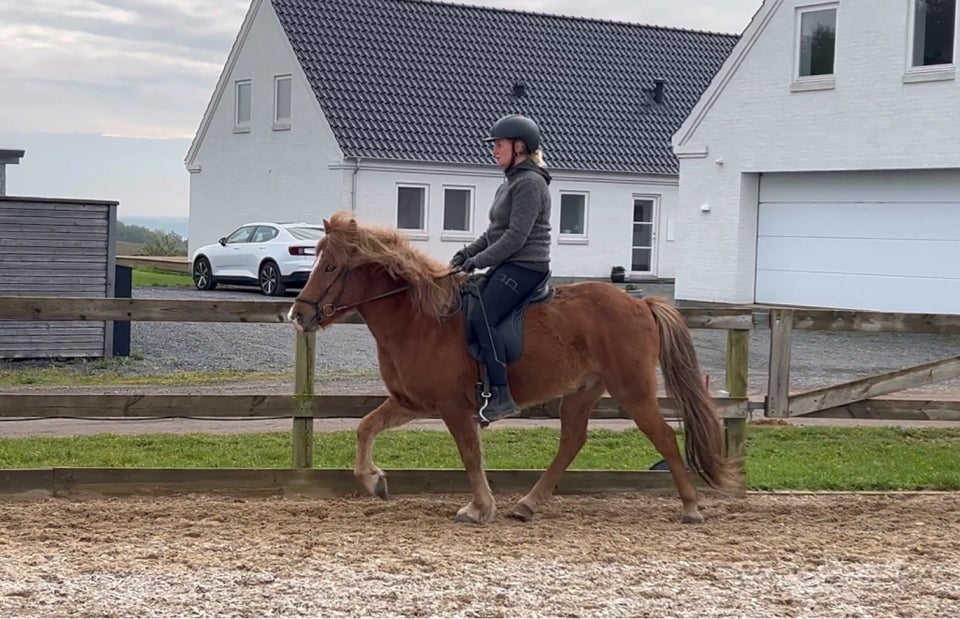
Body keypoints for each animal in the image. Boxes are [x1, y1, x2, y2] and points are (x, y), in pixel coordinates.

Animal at [288, 212, 740, 524]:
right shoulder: (412, 402)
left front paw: (478, 508)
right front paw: (373, 480)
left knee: (662, 436)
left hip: (632, 389)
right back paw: (527, 504)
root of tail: (640, 303)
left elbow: (470, 455)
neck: (420, 318)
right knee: (572, 441)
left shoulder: (453, 407)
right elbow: (366, 427)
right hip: (583, 391)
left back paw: (691, 506)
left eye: (329, 267)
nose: (298, 314)